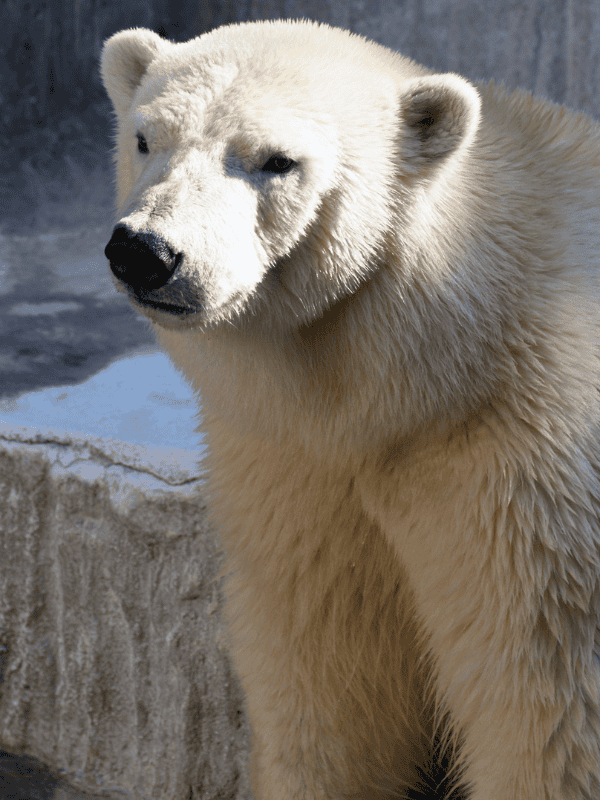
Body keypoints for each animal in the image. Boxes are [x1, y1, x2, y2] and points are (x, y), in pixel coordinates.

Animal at [101, 19, 600, 799]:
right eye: (147, 137)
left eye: (277, 161)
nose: (146, 252)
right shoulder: (300, 466)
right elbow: (328, 661)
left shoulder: (530, 467)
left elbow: (543, 685)